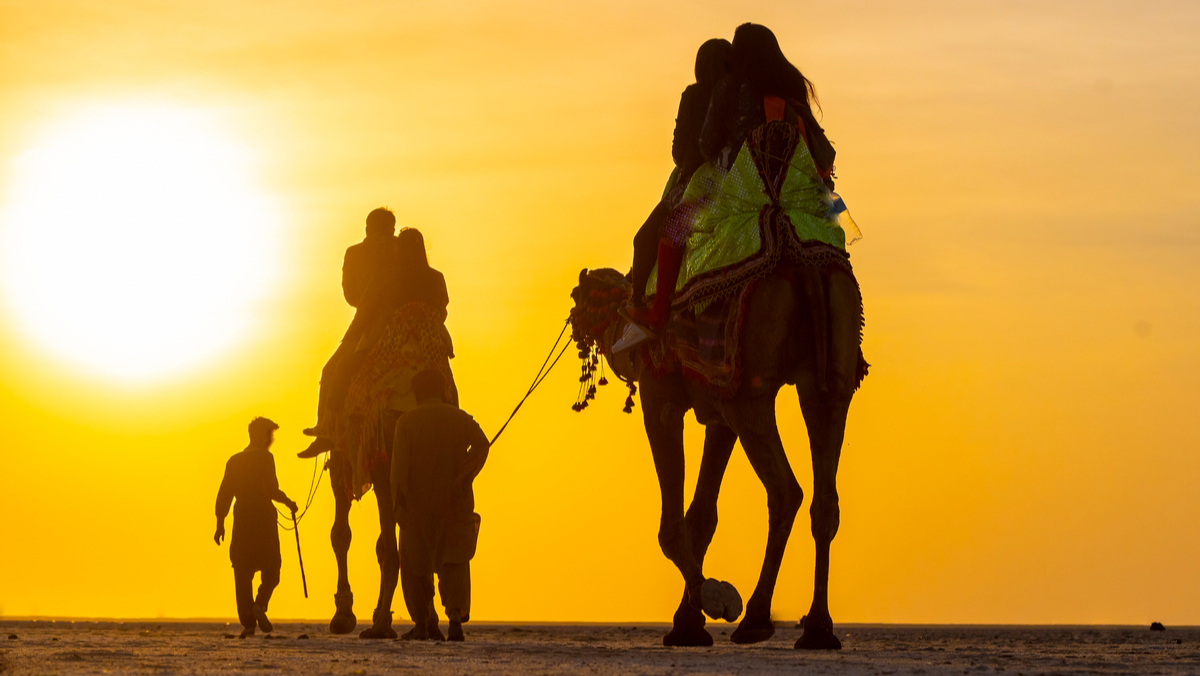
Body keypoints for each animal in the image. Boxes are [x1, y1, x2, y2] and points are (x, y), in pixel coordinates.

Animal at [568, 252, 864, 648]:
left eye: (578, 297)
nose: (572, 321)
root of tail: (808, 269)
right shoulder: (719, 412)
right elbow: (703, 513)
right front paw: (688, 623)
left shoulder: (660, 395)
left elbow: (673, 521)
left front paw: (710, 597)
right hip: (831, 375)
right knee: (825, 499)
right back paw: (817, 629)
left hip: (750, 391)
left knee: (785, 491)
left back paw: (755, 619)